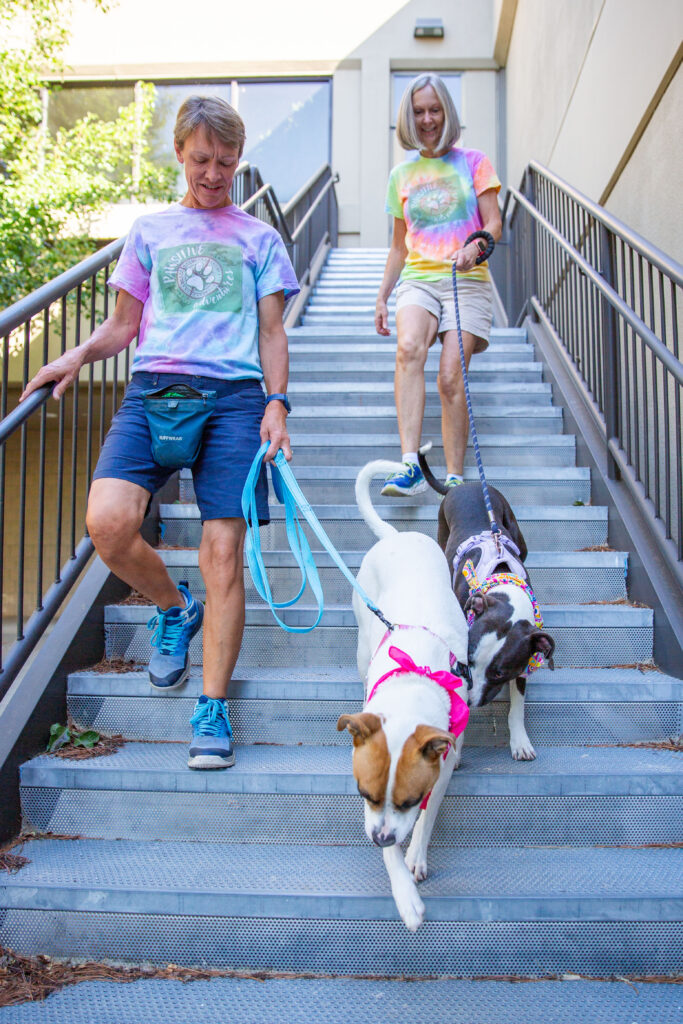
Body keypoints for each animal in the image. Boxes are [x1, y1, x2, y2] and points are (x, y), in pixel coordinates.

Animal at [335, 460, 471, 933]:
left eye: (408, 800)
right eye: (364, 794)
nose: (380, 839)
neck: (415, 681)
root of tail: (397, 537)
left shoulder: (436, 771)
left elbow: (427, 816)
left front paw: (415, 854)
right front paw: (405, 893)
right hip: (362, 638)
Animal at [417, 450, 557, 761]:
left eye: (499, 673)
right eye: (467, 661)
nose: (470, 700)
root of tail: (463, 486)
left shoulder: (524, 662)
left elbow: (517, 706)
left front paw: (520, 742)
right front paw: (455, 752)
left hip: (515, 529)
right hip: (443, 531)